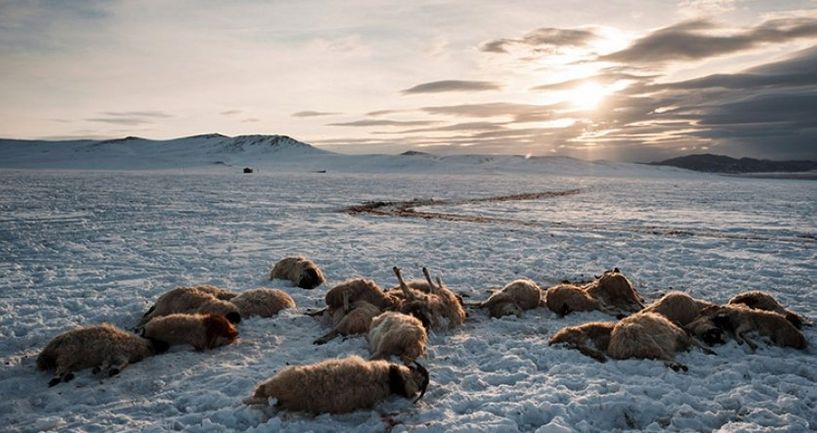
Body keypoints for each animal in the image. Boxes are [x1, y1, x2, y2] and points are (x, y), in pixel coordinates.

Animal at [37, 322, 168, 386]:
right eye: (153, 339)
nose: (165, 344)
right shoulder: (114, 351)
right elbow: (109, 363)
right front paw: (102, 369)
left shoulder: (120, 355)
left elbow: (118, 364)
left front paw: (110, 370)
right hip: (68, 352)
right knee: (60, 368)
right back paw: (56, 379)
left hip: (74, 359)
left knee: (65, 368)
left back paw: (69, 376)